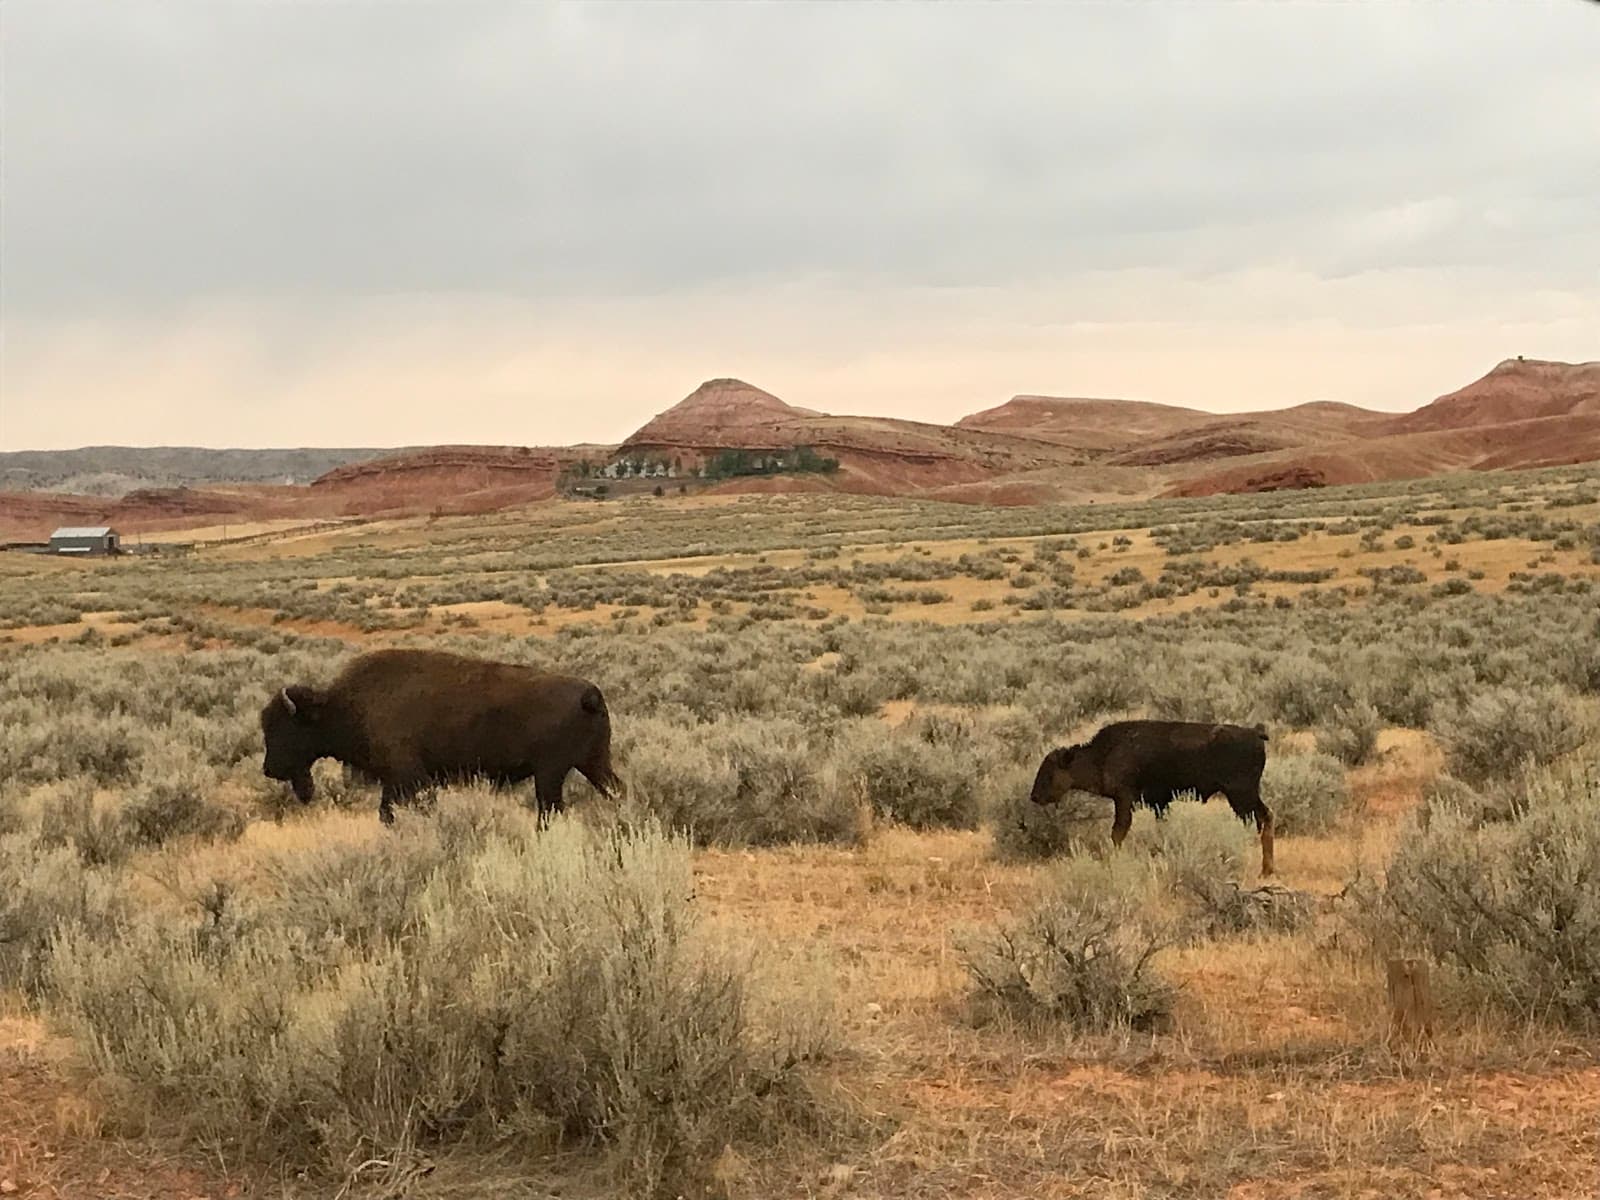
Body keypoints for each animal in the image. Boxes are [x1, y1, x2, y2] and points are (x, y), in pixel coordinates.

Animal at [260, 649, 620, 823]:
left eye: (283, 728)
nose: (269, 768)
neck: (341, 706)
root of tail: (589, 693)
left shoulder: (406, 778)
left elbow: (390, 813)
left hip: (550, 774)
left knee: (550, 810)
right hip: (594, 764)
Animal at [1031, 719, 1275, 874]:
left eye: (1050, 772)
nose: (1034, 796)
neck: (1103, 754)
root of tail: (1254, 733)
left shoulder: (1124, 799)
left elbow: (1118, 832)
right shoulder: (1159, 802)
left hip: (1241, 794)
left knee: (1260, 819)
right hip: (1245, 795)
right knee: (1264, 817)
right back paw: (1267, 870)